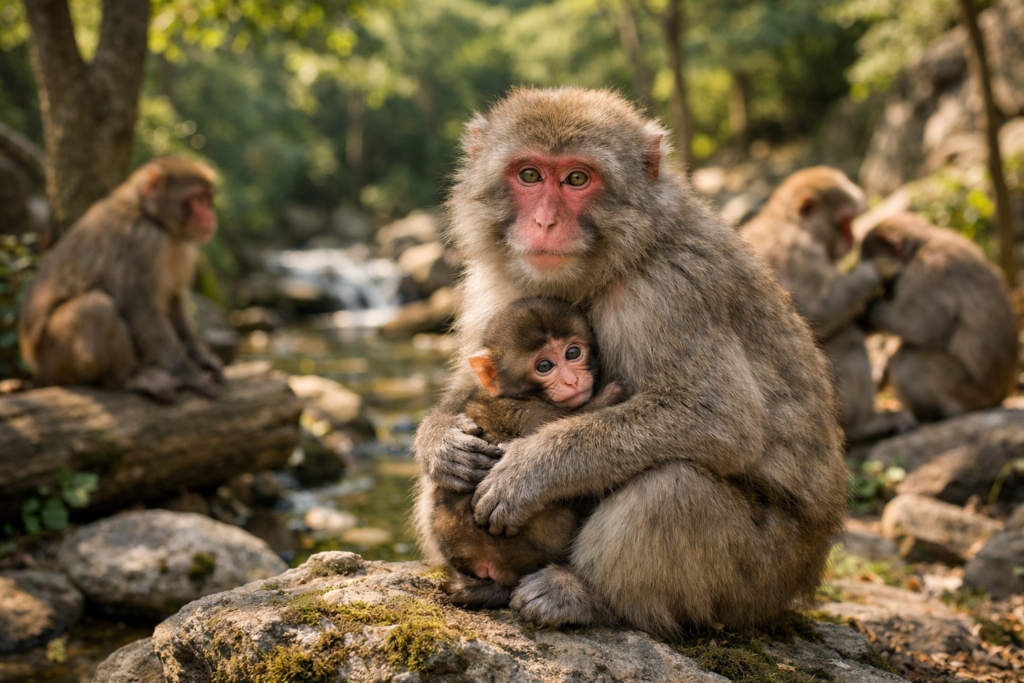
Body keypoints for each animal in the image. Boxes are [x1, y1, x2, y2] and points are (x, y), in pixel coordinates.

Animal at [19, 156, 224, 403]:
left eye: (208, 199)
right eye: (197, 199)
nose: (210, 216)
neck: (152, 218)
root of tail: (35, 367)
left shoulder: (183, 249)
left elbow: (174, 302)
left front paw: (202, 358)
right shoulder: (139, 240)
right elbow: (140, 309)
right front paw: (188, 374)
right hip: (54, 358)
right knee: (96, 308)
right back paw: (130, 378)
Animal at [427, 297, 632, 608]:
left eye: (573, 352)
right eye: (544, 365)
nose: (572, 380)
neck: (520, 394)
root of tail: (490, 564)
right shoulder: (528, 411)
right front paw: (613, 392)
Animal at [741, 166, 916, 443]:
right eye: (845, 220)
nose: (852, 239)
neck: (789, 221)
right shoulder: (800, 251)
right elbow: (818, 314)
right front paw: (881, 267)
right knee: (846, 336)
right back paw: (865, 425)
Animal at [860, 212, 1018, 421]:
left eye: (887, 282)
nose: (886, 293)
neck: (923, 243)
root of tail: (1000, 396)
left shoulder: (927, 271)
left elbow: (922, 325)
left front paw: (867, 313)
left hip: (965, 389)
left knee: (909, 360)